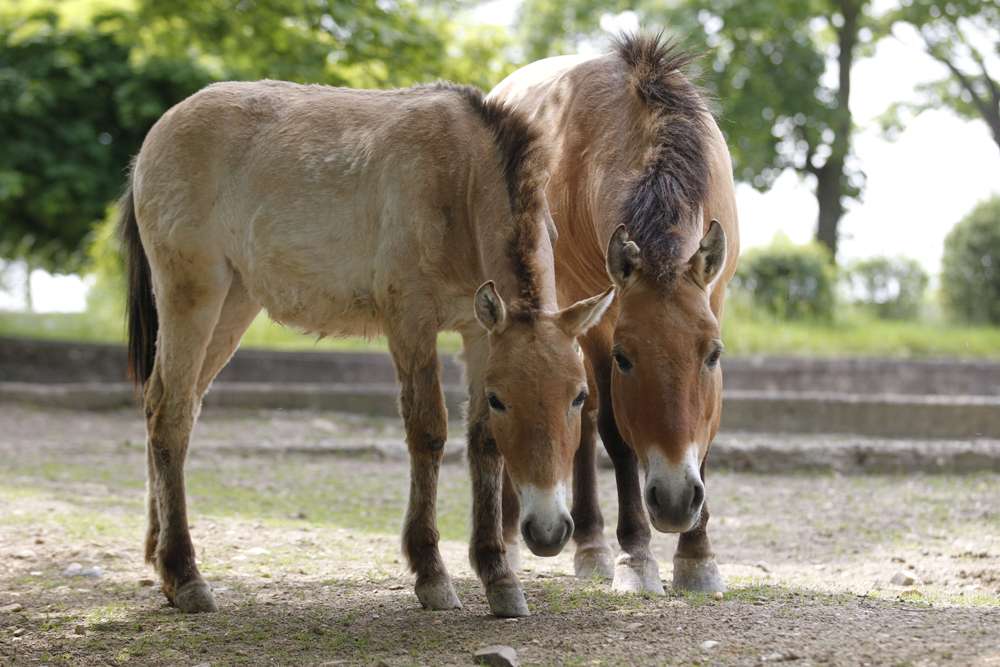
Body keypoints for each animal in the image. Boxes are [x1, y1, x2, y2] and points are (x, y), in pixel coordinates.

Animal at [120, 81, 612, 620]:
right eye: (503, 399)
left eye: (579, 397)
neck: (459, 177)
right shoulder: (411, 323)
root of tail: (156, 137)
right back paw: (185, 575)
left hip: (234, 304)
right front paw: (432, 575)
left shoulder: (480, 333)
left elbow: (482, 442)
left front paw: (498, 577)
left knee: (166, 406)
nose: (548, 531)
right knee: (171, 416)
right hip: (193, 297)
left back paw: (159, 562)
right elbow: (429, 432)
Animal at [488, 32, 740, 596]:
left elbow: (707, 433)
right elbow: (613, 435)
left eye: (713, 355)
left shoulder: (715, 298)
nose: (675, 500)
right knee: (581, 420)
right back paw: (571, 545)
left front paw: (697, 557)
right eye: (626, 358)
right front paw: (636, 557)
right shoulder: (598, 319)